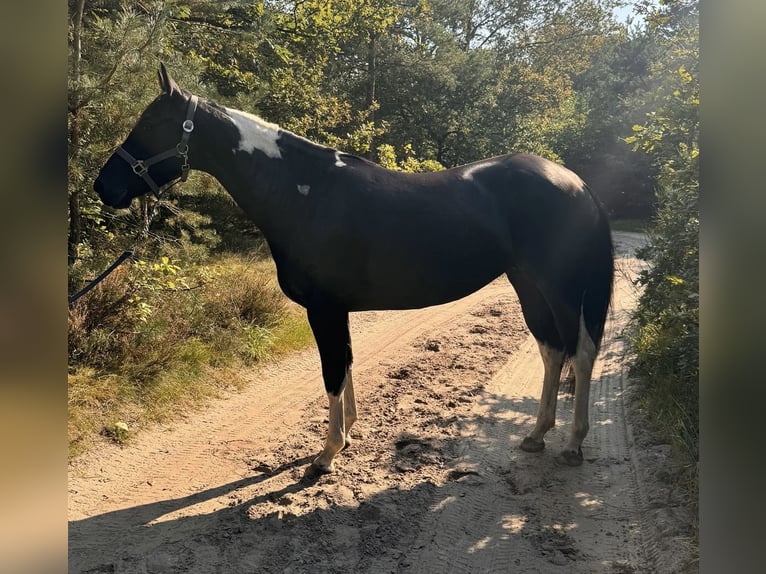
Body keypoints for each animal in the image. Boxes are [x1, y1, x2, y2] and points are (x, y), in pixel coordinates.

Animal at [93, 64, 616, 476]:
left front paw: (325, 455)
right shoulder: (337, 310)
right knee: (552, 350)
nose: (104, 187)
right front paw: (348, 435)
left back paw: (572, 443)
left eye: (152, 122)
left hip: (560, 288)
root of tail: (577, 183)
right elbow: (344, 364)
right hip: (528, 285)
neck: (306, 193)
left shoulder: (323, 309)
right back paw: (537, 434)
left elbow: (330, 372)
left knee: (581, 351)